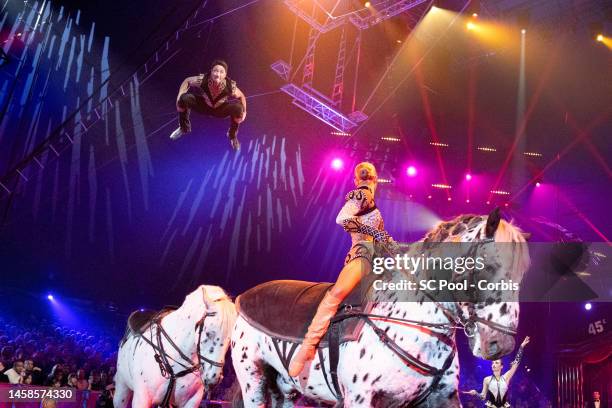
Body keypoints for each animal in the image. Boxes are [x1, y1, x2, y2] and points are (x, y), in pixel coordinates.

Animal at [232, 210, 528, 408]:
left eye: (522, 274)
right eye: (487, 266)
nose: (500, 344)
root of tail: (244, 296)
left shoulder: (442, 397)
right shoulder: (360, 398)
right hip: (253, 380)